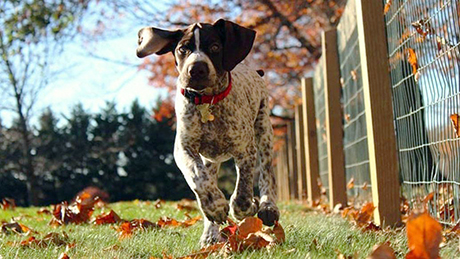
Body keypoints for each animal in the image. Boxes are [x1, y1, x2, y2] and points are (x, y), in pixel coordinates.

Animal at [137, 19, 278, 247]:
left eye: (214, 47)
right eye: (182, 49)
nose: (196, 69)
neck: (207, 102)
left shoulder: (245, 150)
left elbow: (243, 190)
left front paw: (247, 207)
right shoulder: (184, 149)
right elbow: (198, 177)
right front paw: (215, 206)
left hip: (264, 130)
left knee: (267, 174)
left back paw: (268, 207)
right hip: (211, 160)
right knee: (207, 179)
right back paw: (210, 234)